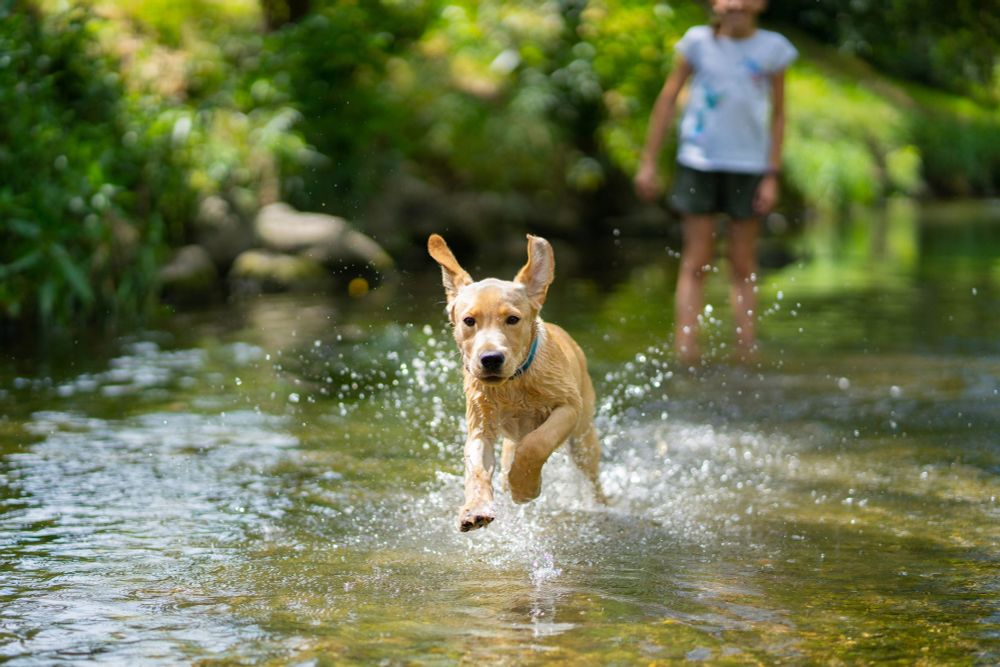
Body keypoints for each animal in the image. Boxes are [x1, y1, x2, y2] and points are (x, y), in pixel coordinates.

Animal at [428, 234, 600, 532]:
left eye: (512, 319)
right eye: (469, 321)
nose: (490, 359)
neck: (513, 384)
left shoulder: (568, 407)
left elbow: (537, 443)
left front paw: (523, 487)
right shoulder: (480, 427)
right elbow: (476, 469)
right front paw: (475, 508)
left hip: (583, 438)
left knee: (593, 479)